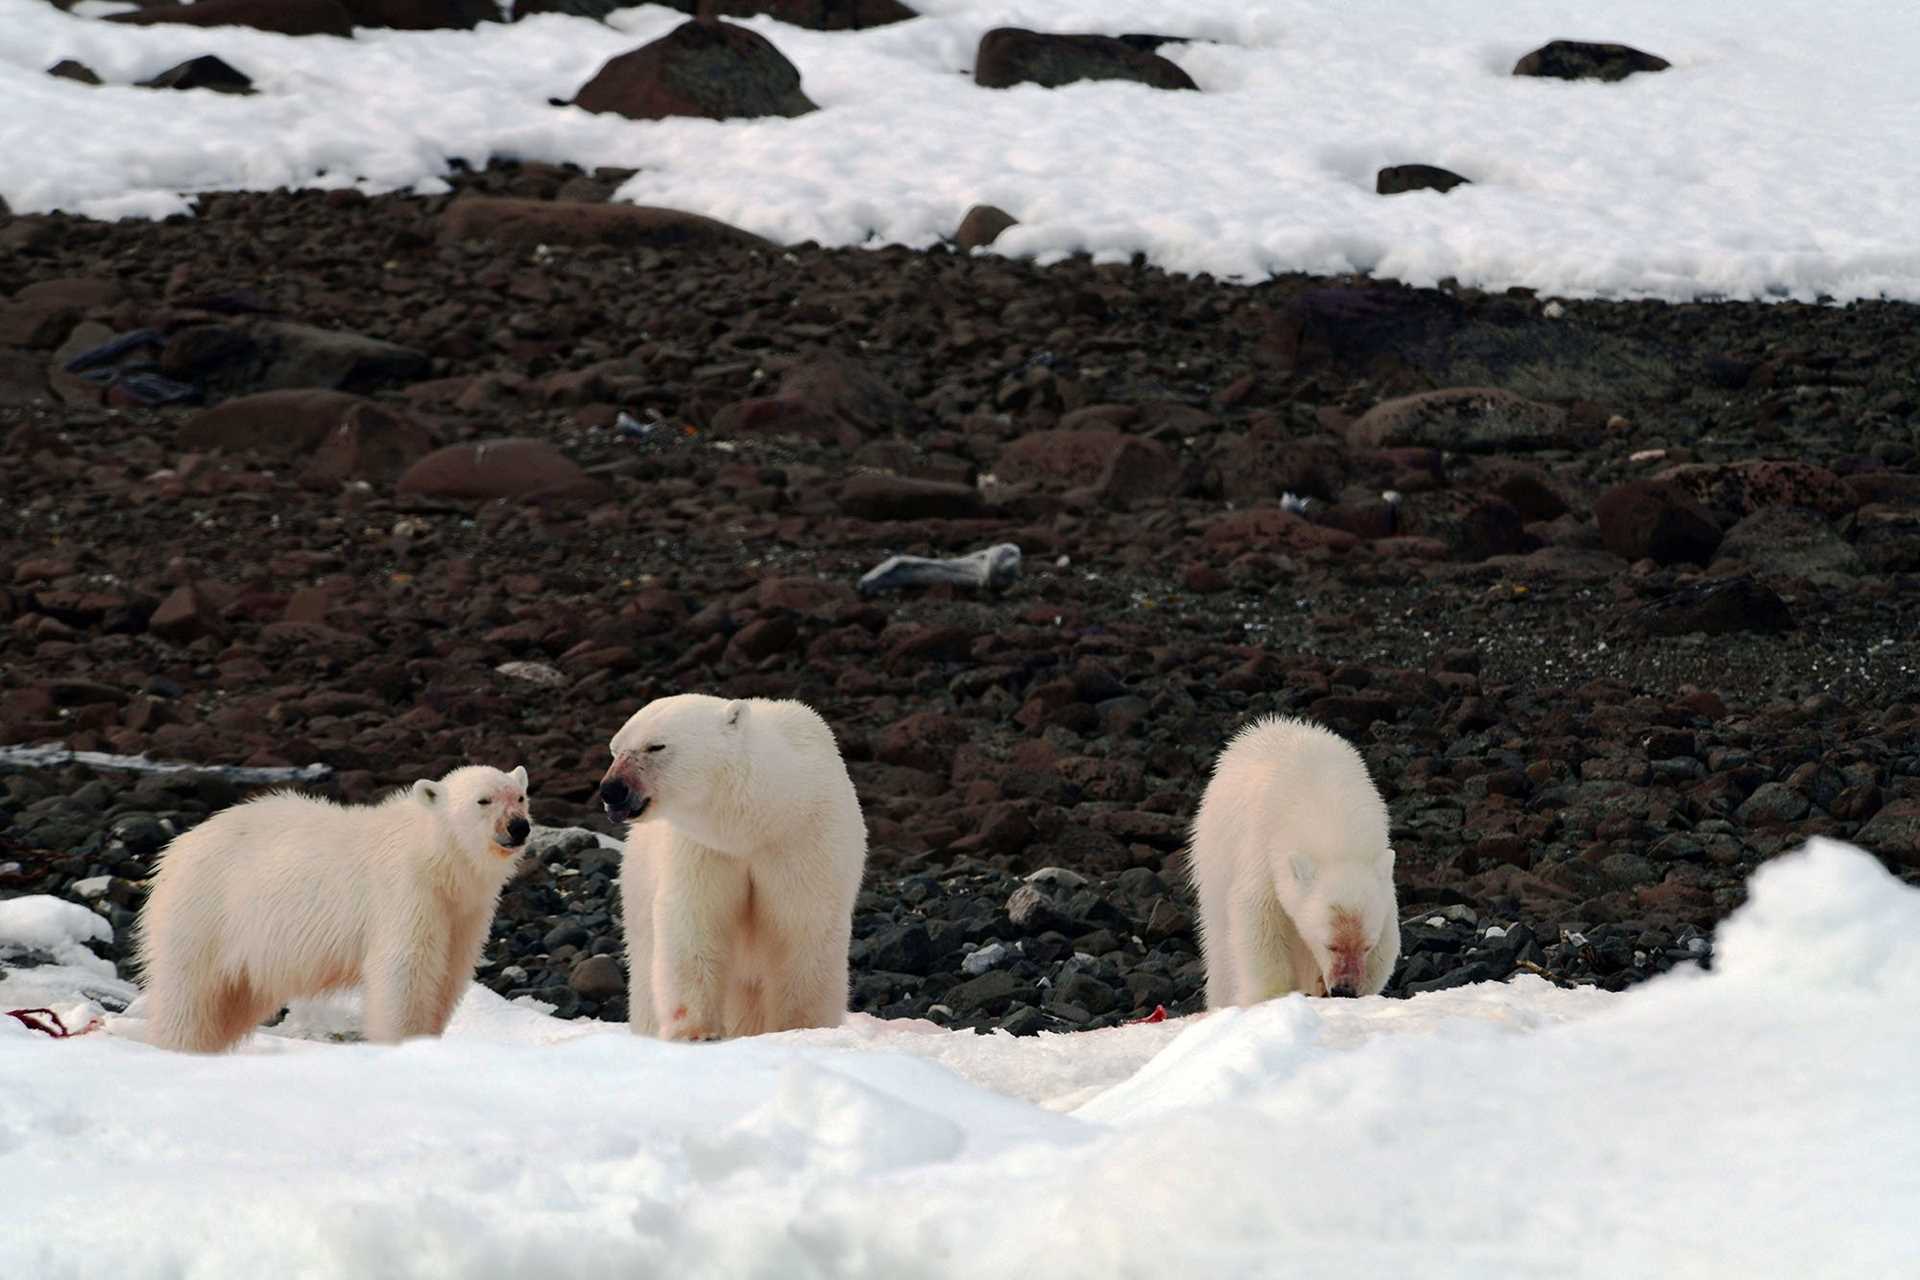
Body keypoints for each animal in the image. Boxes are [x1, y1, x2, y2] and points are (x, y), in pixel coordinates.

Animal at [138, 767, 533, 1059]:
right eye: (484, 800)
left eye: (520, 797)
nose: (518, 826)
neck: (437, 857)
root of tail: (175, 850)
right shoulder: (406, 894)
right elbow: (405, 970)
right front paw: (403, 1045)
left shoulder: (463, 913)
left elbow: (449, 974)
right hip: (206, 913)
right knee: (189, 996)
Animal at [599, 702, 871, 1043]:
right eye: (614, 749)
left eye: (655, 746)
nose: (611, 790)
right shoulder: (704, 849)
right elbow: (694, 919)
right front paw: (696, 1031)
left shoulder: (805, 840)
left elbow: (805, 924)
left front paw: (803, 1028)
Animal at [1182, 717, 1397, 1005]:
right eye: (1330, 945)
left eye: (1367, 946)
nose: (1345, 989)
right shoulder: (1264, 847)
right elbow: (1257, 913)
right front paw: (1273, 995)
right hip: (1214, 856)